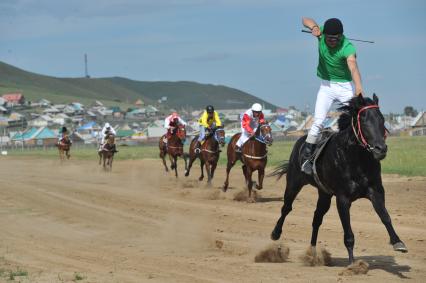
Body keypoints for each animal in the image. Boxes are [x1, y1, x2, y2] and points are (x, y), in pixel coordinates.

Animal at [272, 95, 408, 264]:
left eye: (382, 119)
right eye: (364, 121)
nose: (380, 149)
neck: (356, 158)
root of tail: (299, 141)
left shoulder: (375, 191)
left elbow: (385, 217)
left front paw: (398, 242)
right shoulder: (343, 198)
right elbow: (348, 233)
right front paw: (352, 263)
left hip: (324, 194)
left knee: (317, 218)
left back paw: (312, 253)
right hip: (293, 183)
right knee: (286, 208)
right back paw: (276, 233)